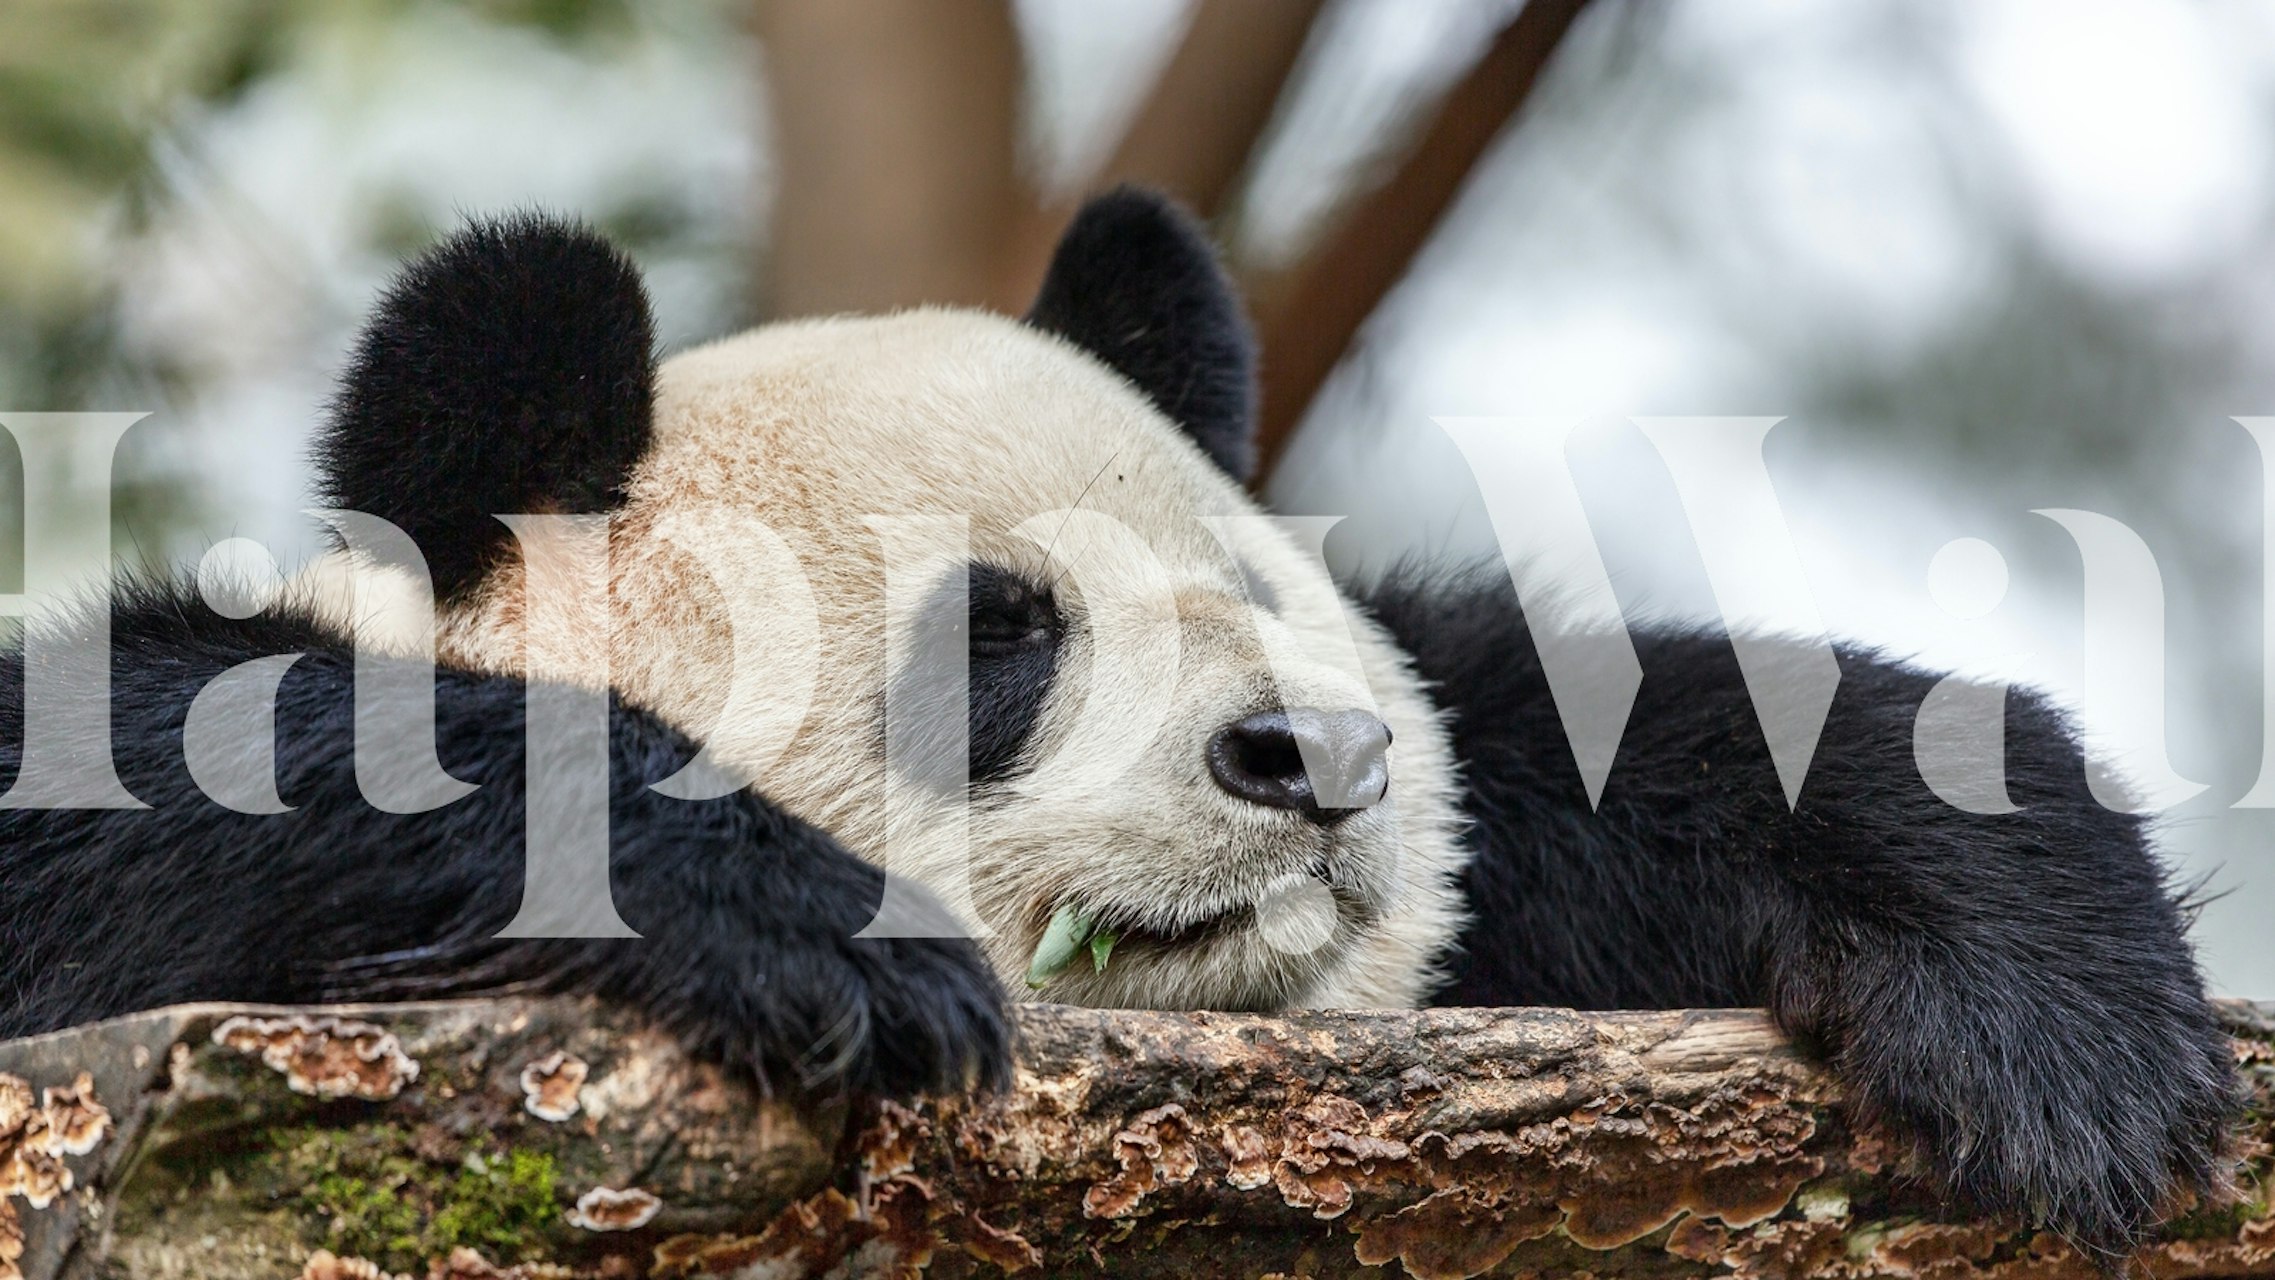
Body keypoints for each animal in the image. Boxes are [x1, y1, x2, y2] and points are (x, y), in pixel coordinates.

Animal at [0, 188, 2237, 1256]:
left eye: (1250, 593)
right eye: (1000, 634)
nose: (1313, 767)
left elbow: (1610, 733)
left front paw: (2059, 1037)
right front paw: (807, 931)